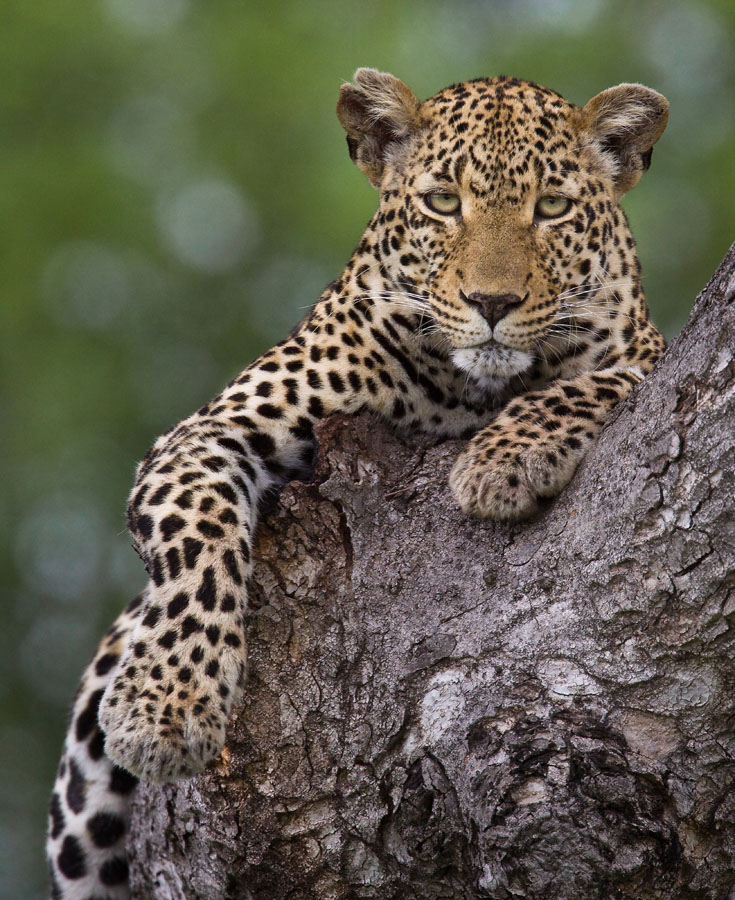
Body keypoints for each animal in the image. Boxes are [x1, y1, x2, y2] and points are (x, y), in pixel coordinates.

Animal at [47, 67, 668, 899]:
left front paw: (503, 457)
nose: (492, 303)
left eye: (551, 208)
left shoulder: (648, 352)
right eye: (443, 202)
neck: (473, 390)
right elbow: (198, 540)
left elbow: (598, 381)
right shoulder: (205, 433)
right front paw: (166, 706)